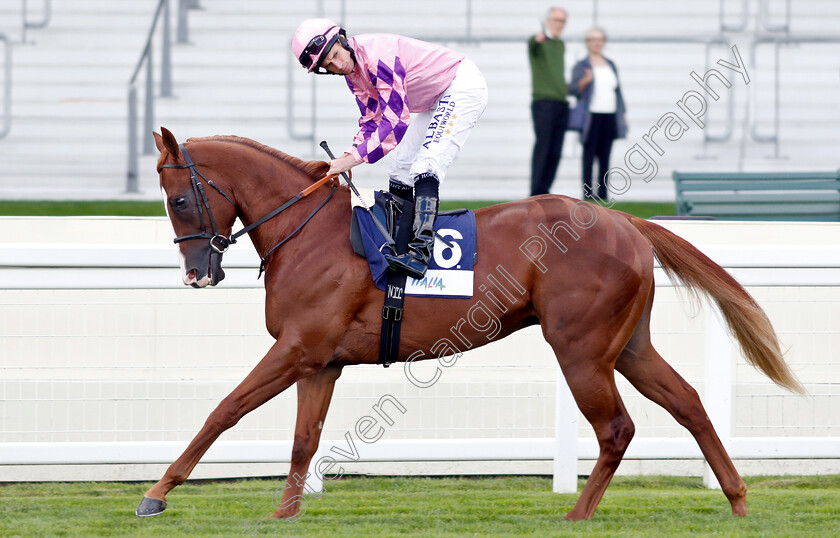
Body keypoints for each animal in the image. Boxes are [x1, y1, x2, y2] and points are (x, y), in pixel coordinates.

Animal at [141, 126, 804, 520]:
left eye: (179, 199)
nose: (197, 274)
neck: (308, 234)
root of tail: (627, 222)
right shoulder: (321, 362)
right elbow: (304, 438)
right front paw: (284, 515)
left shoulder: (297, 348)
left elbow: (224, 410)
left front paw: (156, 494)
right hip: (629, 347)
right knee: (688, 401)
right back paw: (738, 501)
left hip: (581, 349)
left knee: (616, 428)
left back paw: (576, 517)